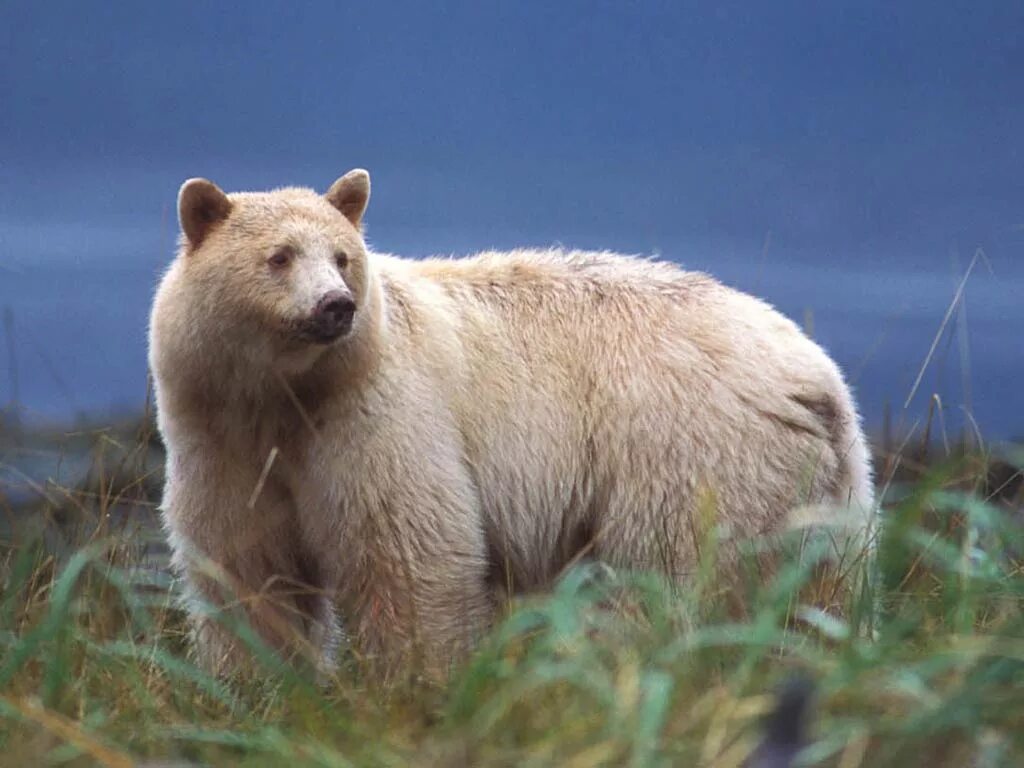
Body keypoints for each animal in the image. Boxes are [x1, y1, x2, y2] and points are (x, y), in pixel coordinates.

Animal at [148, 169, 876, 679]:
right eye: (279, 256)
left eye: (343, 256)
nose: (336, 306)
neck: (286, 394)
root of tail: (817, 379)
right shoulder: (223, 440)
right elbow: (245, 571)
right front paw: (258, 685)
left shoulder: (373, 423)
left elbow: (407, 557)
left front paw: (412, 684)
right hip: (826, 490)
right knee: (824, 592)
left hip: (692, 453)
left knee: (672, 577)